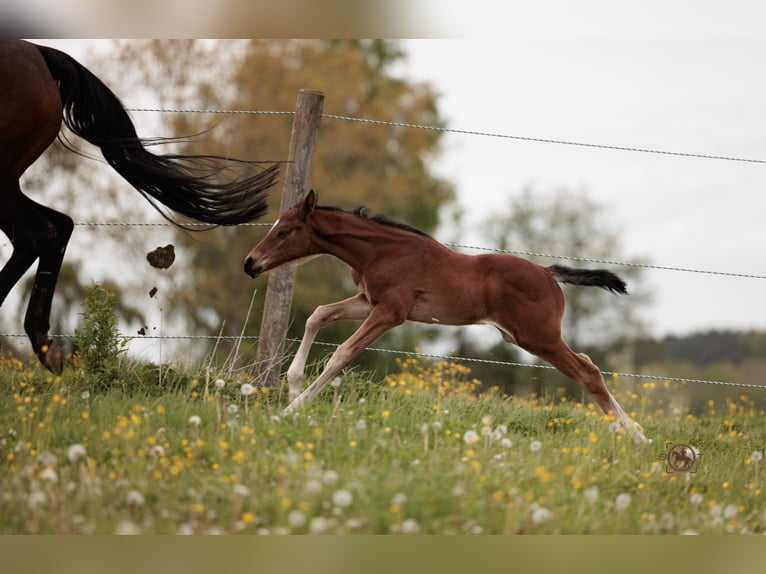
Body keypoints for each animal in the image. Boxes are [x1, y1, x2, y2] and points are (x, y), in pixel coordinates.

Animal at [244, 190, 650, 444]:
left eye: (284, 231)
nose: (250, 263)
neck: (380, 251)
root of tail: (548, 273)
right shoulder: (368, 301)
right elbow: (318, 315)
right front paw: (292, 385)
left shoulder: (392, 311)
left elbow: (342, 353)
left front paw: (292, 408)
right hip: (530, 337)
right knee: (588, 364)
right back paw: (634, 429)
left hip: (537, 336)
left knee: (587, 372)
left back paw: (636, 434)